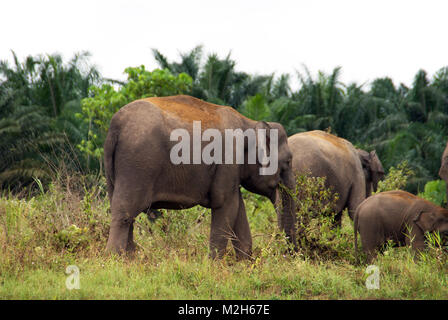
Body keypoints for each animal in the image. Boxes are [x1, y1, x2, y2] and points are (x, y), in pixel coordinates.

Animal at [103, 94, 296, 258]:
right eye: (288, 161)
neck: (249, 122)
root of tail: (115, 126)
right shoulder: (229, 160)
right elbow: (226, 205)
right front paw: (214, 266)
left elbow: (238, 208)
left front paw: (245, 266)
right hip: (138, 163)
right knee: (125, 213)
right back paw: (115, 260)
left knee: (123, 210)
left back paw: (129, 260)